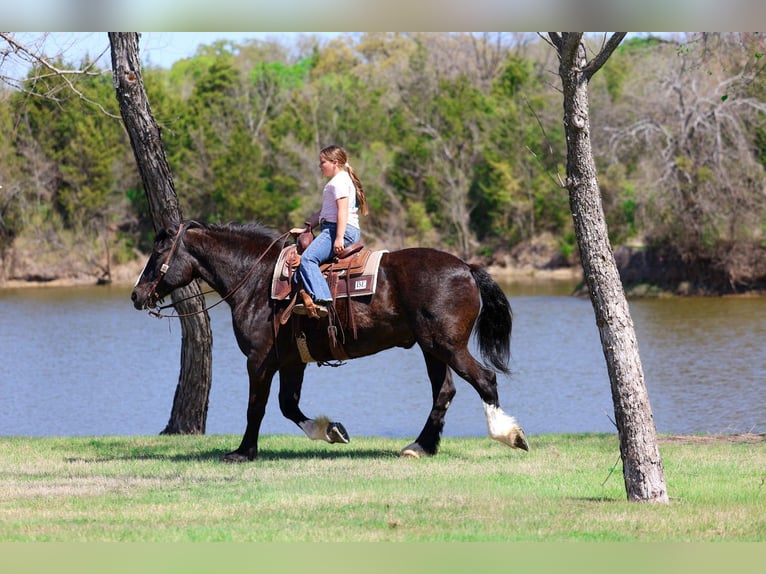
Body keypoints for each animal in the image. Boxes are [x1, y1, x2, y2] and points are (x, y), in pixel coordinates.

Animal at [131, 220, 529, 462]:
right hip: (432, 349)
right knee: (444, 392)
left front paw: (243, 452)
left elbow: (256, 407)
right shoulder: (292, 361)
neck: (258, 282)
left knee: (484, 380)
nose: (136, 295)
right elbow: (288, 405)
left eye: (157, 254)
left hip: (447, 346)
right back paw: (420, 446)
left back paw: (508, 434)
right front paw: (331, 430)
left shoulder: (259, 360)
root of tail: (466, 268)